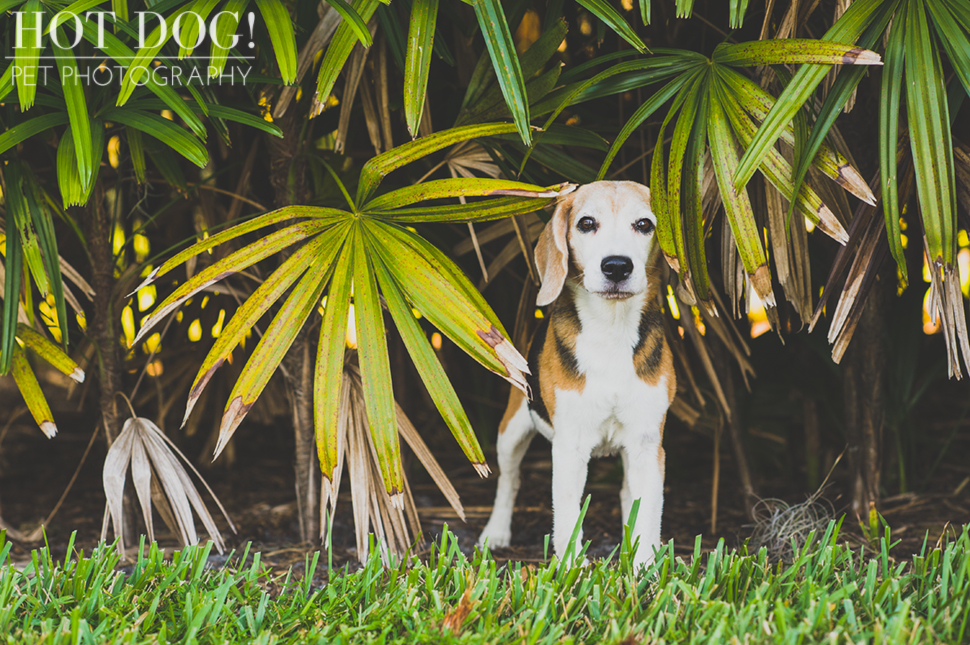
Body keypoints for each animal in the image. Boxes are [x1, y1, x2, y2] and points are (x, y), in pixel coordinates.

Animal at [476, 180, 672, 564]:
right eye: (586, 223)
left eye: (644, 224)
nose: (616, 266)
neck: (611, 330)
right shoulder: (570, 448)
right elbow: (568, 519)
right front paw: (570, 569)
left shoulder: (647, 445)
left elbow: (647, 514)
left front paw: (644, 570)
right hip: (510, 432)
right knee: (509, 481)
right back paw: (496, 532)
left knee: (627, 494)